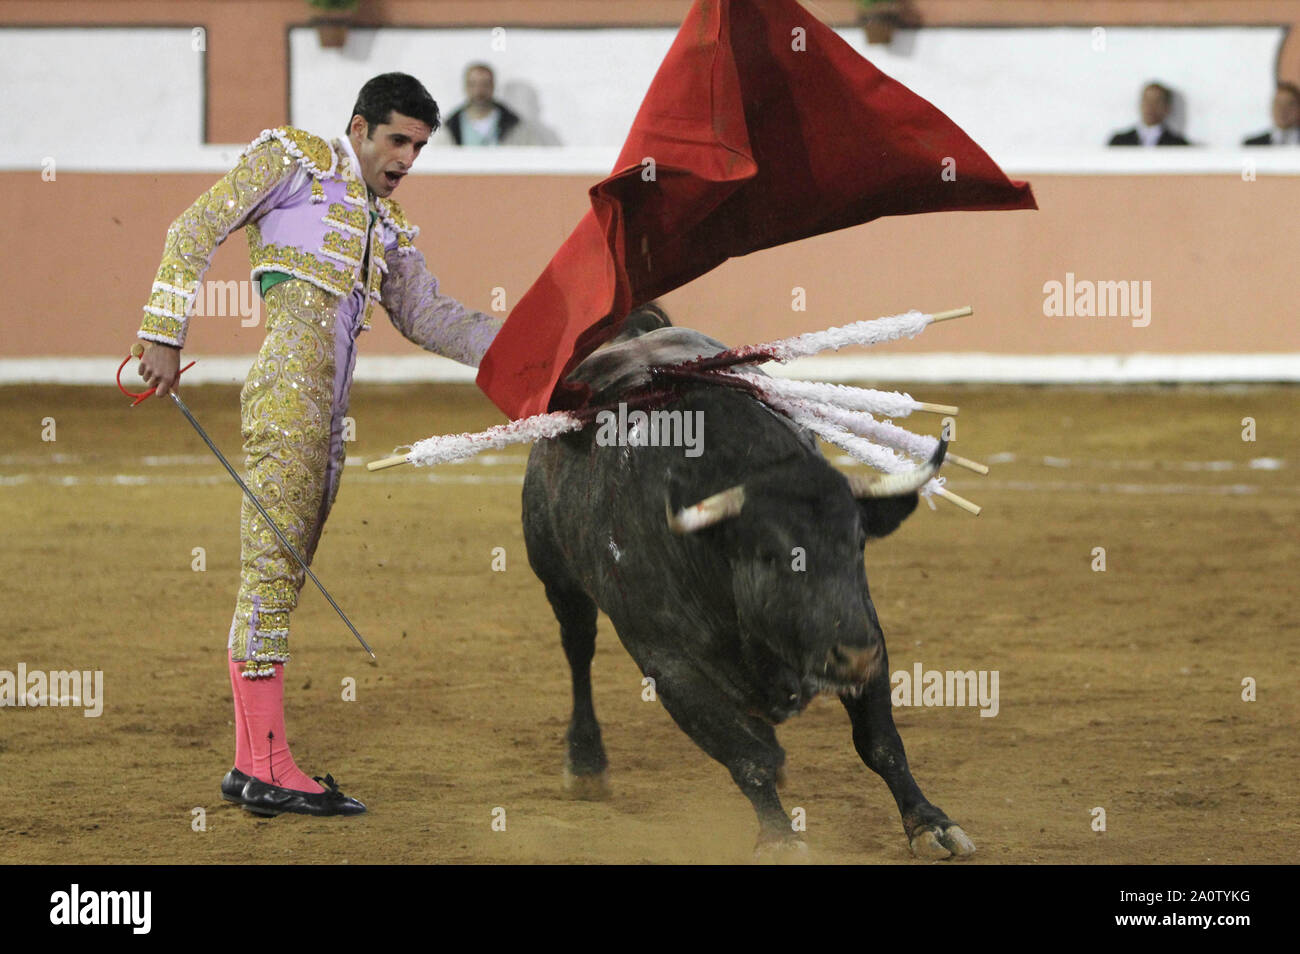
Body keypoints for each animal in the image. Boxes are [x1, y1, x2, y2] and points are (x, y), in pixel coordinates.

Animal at [517, 306, 977, 857]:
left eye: (858, 544)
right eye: (769, 555)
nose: (852, 656)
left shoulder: (869, 633)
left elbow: (881, 744)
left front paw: (930, 823)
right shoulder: (669, 667)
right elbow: (744, 757)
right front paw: (779, 837)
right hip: (558, 579)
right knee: (578, 649)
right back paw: (585, 763)